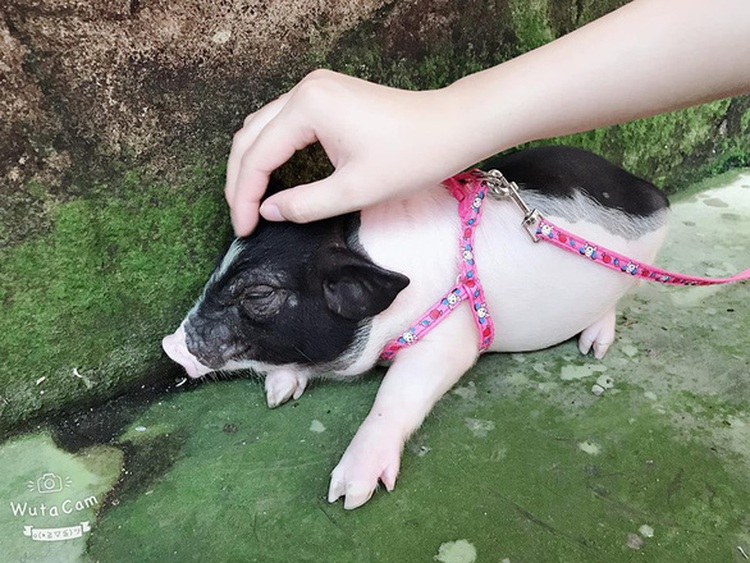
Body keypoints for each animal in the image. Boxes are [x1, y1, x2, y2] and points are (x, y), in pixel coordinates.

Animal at [162, 145, 669, 509]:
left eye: (258, 296)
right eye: (218, 266)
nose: (169, 346)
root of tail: (652, 193)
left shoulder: (450, 338)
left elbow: (397, 395)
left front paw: (349, 493)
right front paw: (278, 394)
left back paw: (593, 347)